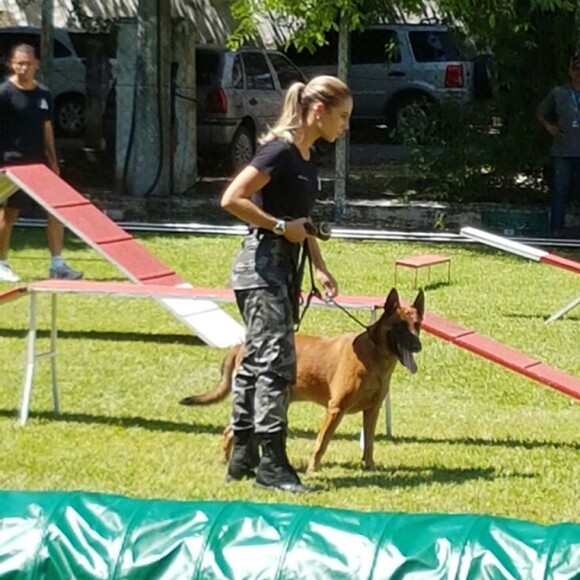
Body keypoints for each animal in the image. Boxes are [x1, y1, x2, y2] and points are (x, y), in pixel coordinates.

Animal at [181, 288, 426, 474]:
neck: (374, 355)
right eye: (400, 326)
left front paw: (370, 467)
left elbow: (370, 445)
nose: (417, 346)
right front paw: (312, 469)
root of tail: (242, 346)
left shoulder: (372, 411)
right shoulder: (335, 410)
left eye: (417, 325)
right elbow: (321, 443)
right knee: (230, 431)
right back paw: (227, 461)